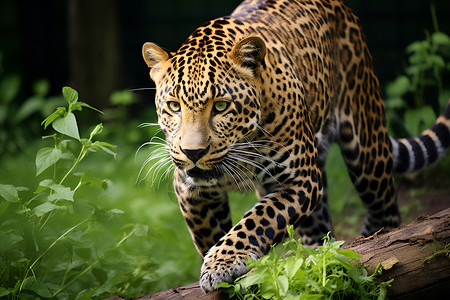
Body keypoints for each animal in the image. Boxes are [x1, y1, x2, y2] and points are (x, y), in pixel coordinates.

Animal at [142, 0, 450, 292]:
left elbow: (257, 220)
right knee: (320, 231)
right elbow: (211, 232)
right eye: (174, 106)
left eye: (220, 106)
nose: (193, 153)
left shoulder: (301, 180)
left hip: (367, 149)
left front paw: (221, 263)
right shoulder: (189, 188)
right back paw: (317, 264)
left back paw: (374, 244)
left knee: (385, 211)